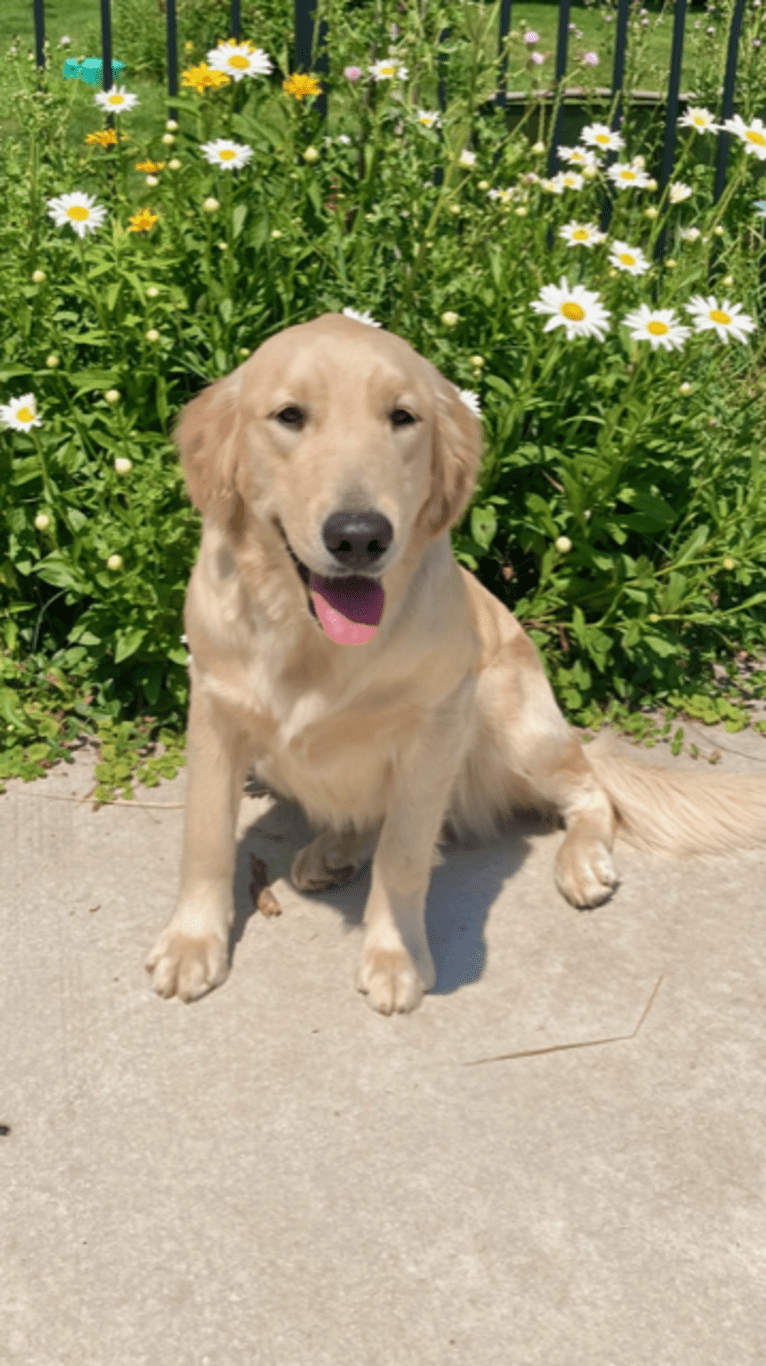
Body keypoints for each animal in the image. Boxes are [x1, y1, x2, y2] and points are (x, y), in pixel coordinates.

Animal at [144, 312, 764, 1016]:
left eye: (402, 417)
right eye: (290, 415)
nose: (359, 536)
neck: (310, 642)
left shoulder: (434, 731)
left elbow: (406, 854)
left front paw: (395, 956)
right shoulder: (215, 712)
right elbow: (205, 840)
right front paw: (193, 943)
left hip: (509, 715)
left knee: (590, 791)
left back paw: (580, 862)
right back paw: (333, 850)